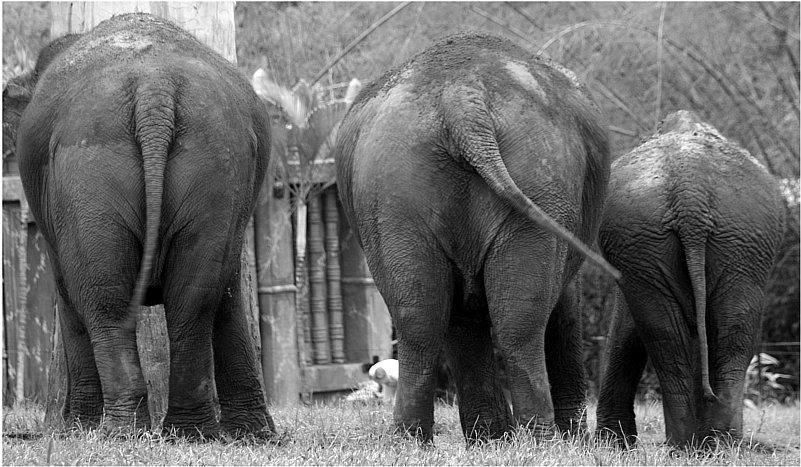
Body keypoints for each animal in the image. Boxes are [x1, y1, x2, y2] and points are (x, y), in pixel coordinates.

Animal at [8, 12, 276, 440]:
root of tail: (155, 88)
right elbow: (228, 292)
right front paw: (254, 434)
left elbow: (66, 295)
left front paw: (74, 430)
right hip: (219, 159)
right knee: (194, 296)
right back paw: (189, 432)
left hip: (87, 165)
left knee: (102, 297)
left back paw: (117, 432)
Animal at [334, 32, 616, 442]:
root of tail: (462, 100)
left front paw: (490, 441)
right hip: (539, 177)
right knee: (520, 321)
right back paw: (542, 441)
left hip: (393, 190)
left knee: (419, 319)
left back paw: (414, 441)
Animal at [596, 110, 784, 450]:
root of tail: (690, 193)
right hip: (688, 236)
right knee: (686, 332)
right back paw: (706, 445)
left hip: (739, 236)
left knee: (695, 331)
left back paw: (703, 445)